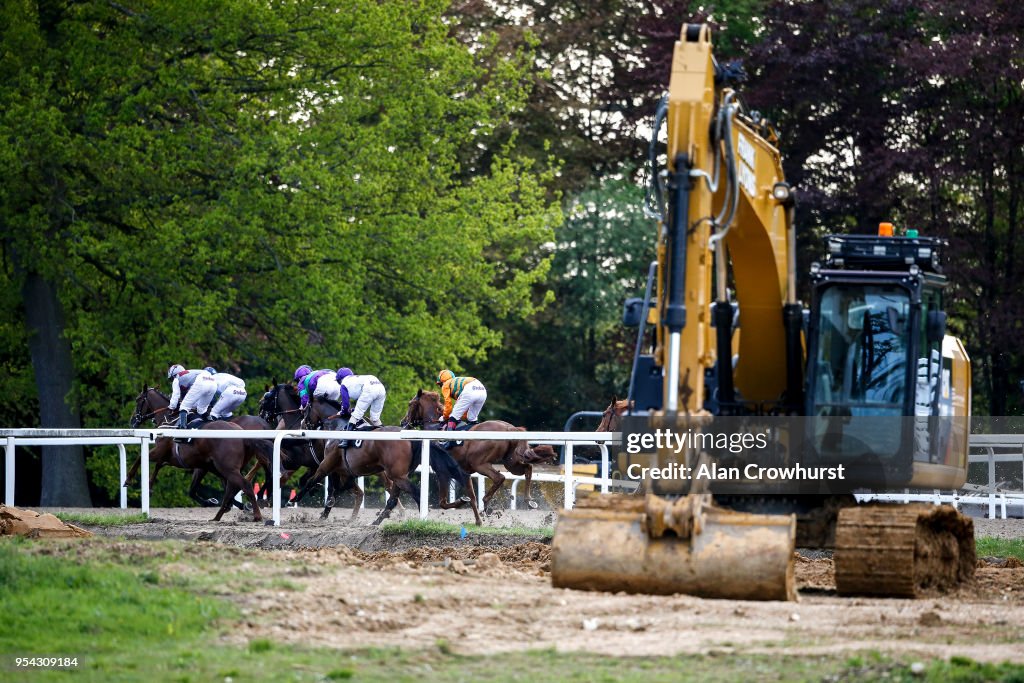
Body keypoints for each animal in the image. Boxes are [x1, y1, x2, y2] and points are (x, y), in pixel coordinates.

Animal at [125, 385, 262, 524]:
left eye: (138, 400)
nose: (132, 421)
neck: (170, 421)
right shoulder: (194, 464)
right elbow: (188, 487)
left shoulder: (161, 451)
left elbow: (142, 457)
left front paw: (128, 480)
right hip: (226, 467)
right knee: (233, 487)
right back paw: (221, 514)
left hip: (227, 467)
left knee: (244, 484)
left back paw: (256, 515)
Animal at [401, 387, 561, 528]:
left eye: (410, 404)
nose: (403, 422)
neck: (436, 429)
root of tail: (510, 428)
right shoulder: (462, 472)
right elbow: (468, 497)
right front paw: (477, 520)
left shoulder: (445, 471)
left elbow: (447, 502)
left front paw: (466, 506)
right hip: (510, 462)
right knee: (528, 468)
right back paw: (529, 500)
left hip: (480, 463)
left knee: (500, 477)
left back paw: (487, 503)